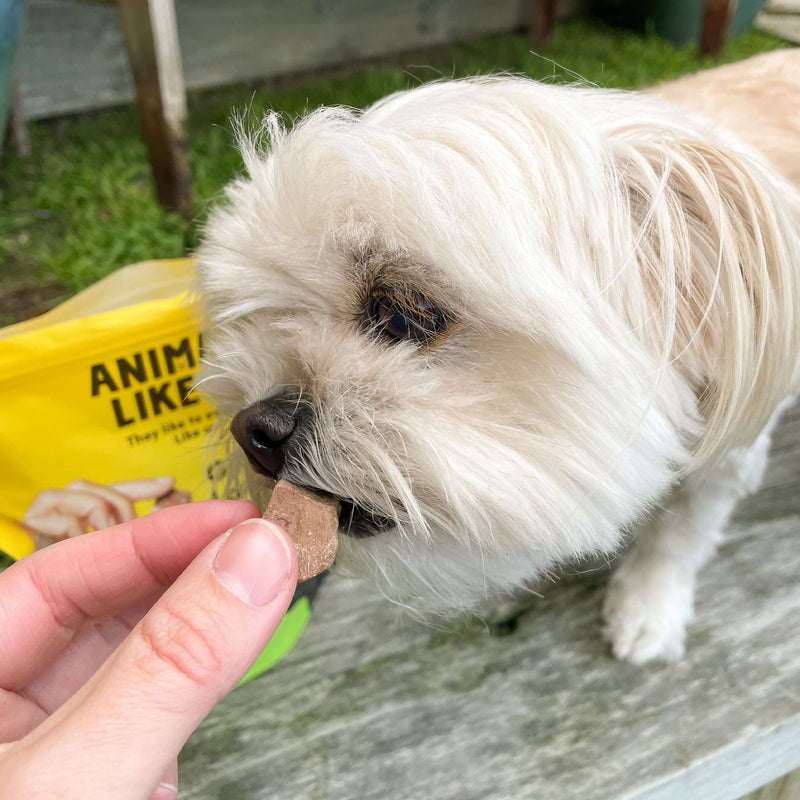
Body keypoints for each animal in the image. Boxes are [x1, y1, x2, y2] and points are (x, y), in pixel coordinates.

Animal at [195, 50, 800, 664]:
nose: (253, 428)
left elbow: (681, 532)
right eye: (259, 315)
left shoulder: (728, 454)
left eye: (404, 314)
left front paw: (651, 605)